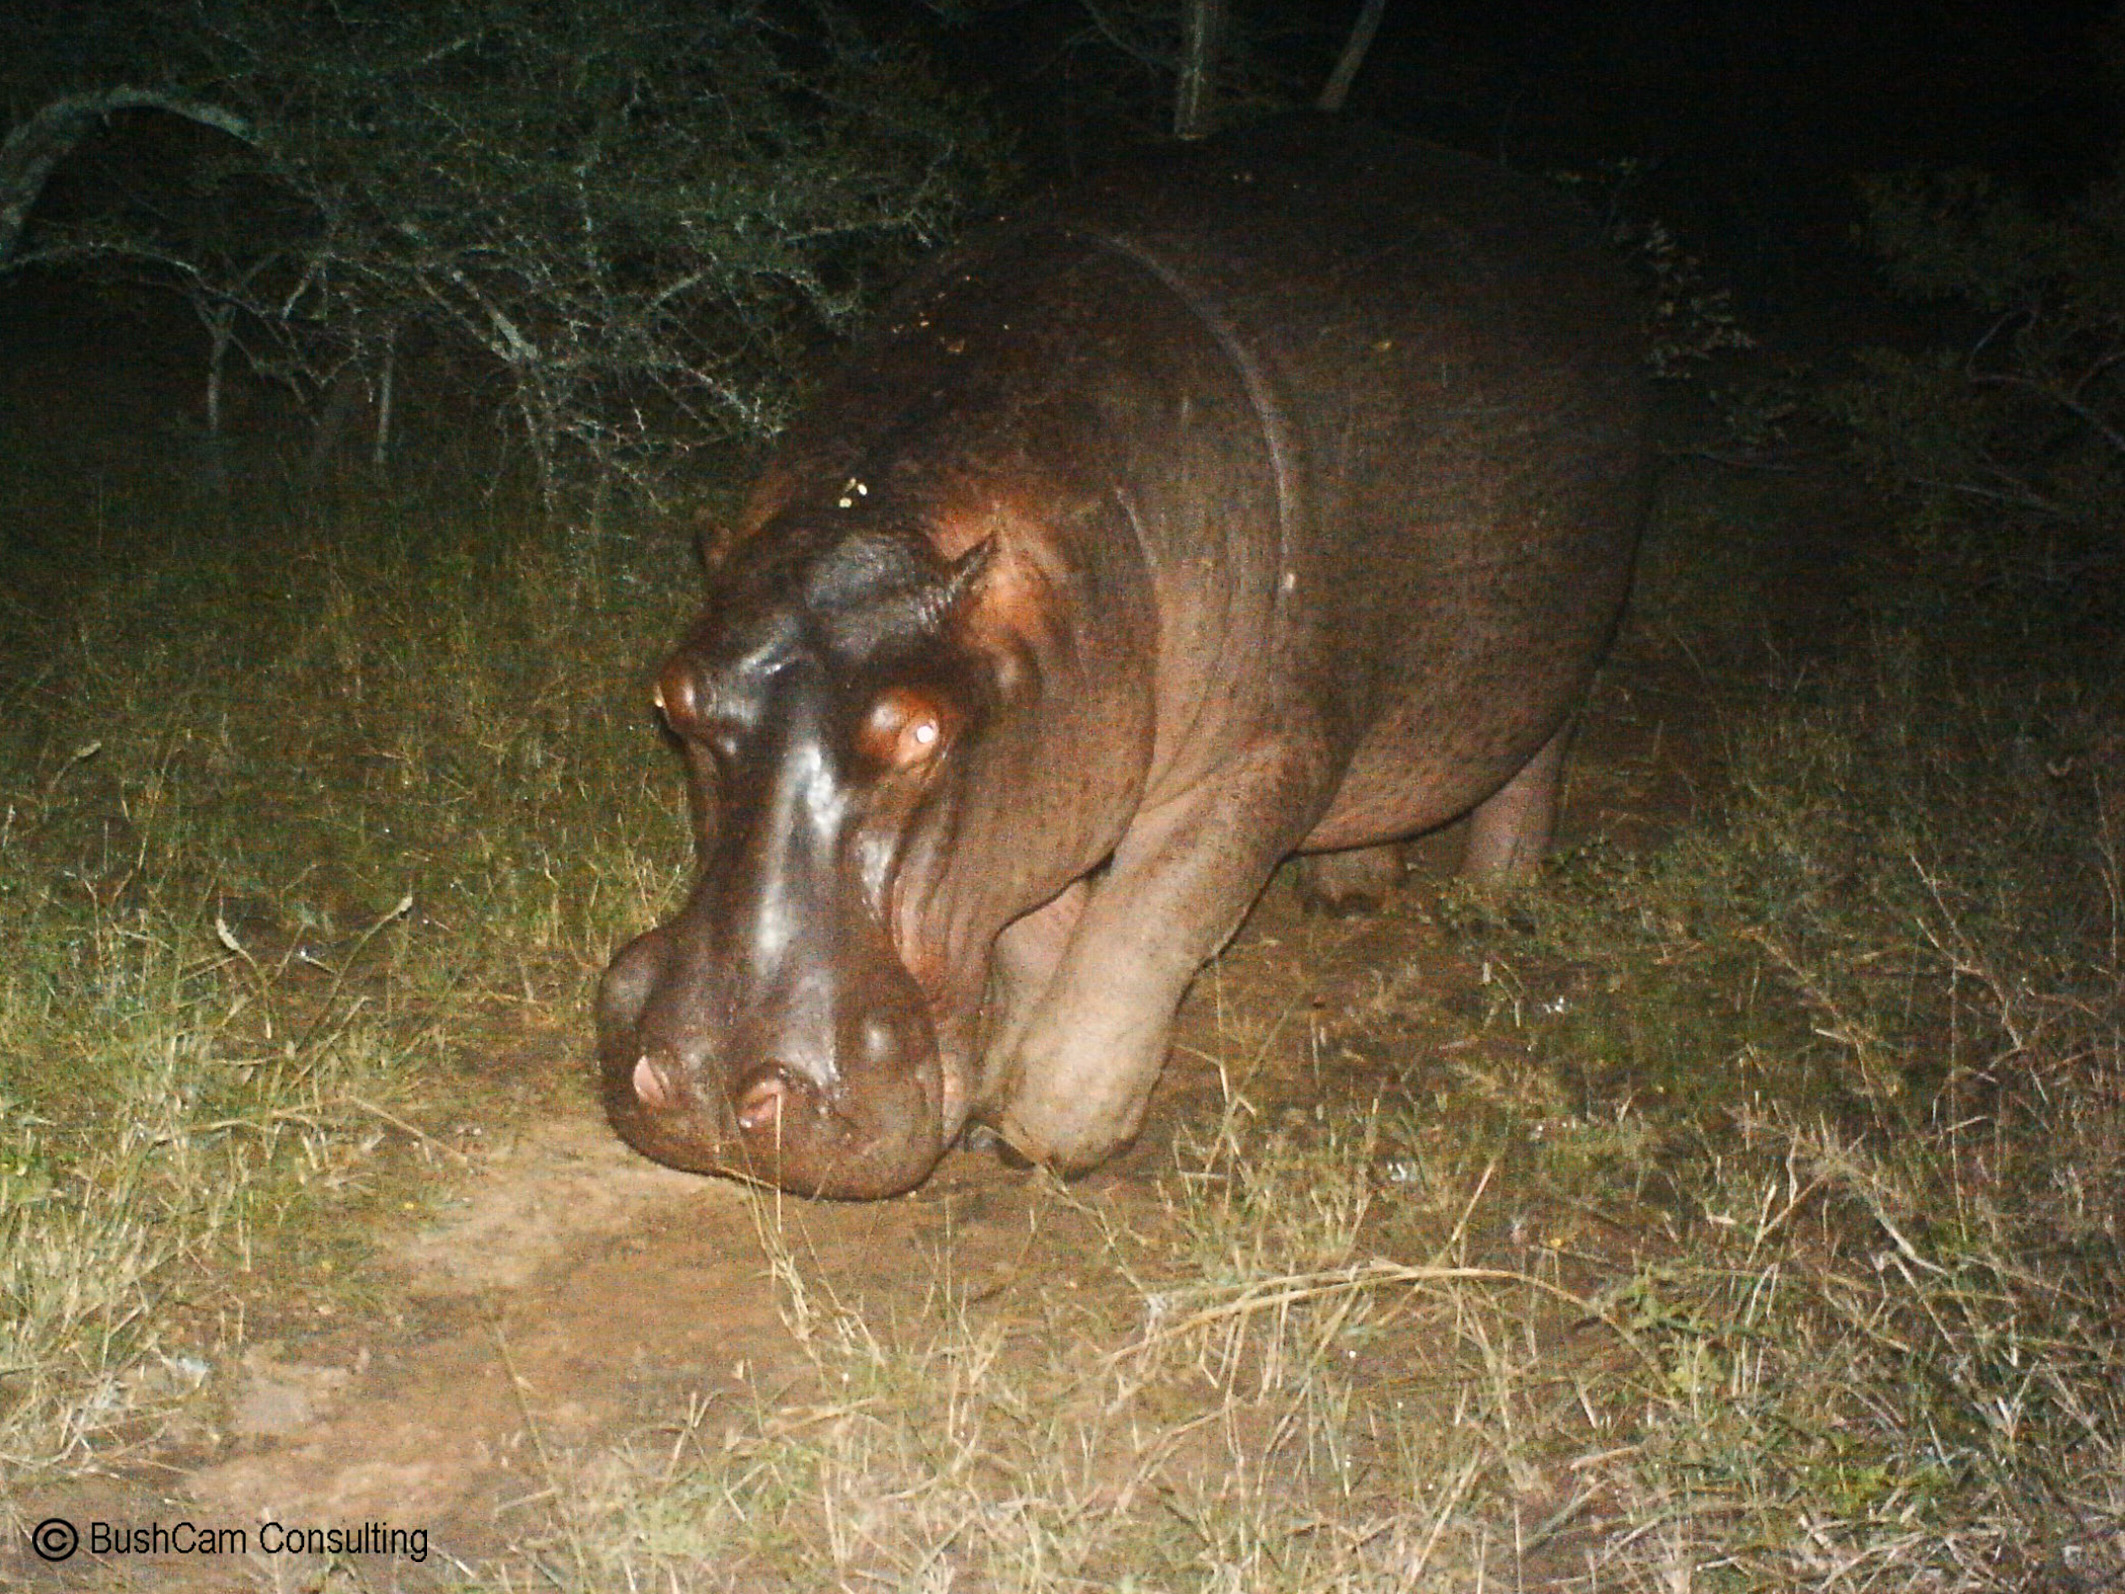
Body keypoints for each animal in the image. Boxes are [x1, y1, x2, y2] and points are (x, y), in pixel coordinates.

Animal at [598, 117, 1649, 1198]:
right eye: (671, 698)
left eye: (920, 732)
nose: (709, 1083)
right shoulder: (1049, 771)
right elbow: (1036, 935)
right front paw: (997, 1096)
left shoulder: (1256, 759)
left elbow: (1138, 933)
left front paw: (1043, 1136)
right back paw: (1349, 890)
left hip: (1563, 632)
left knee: (1533, 753)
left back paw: (1495, 904)